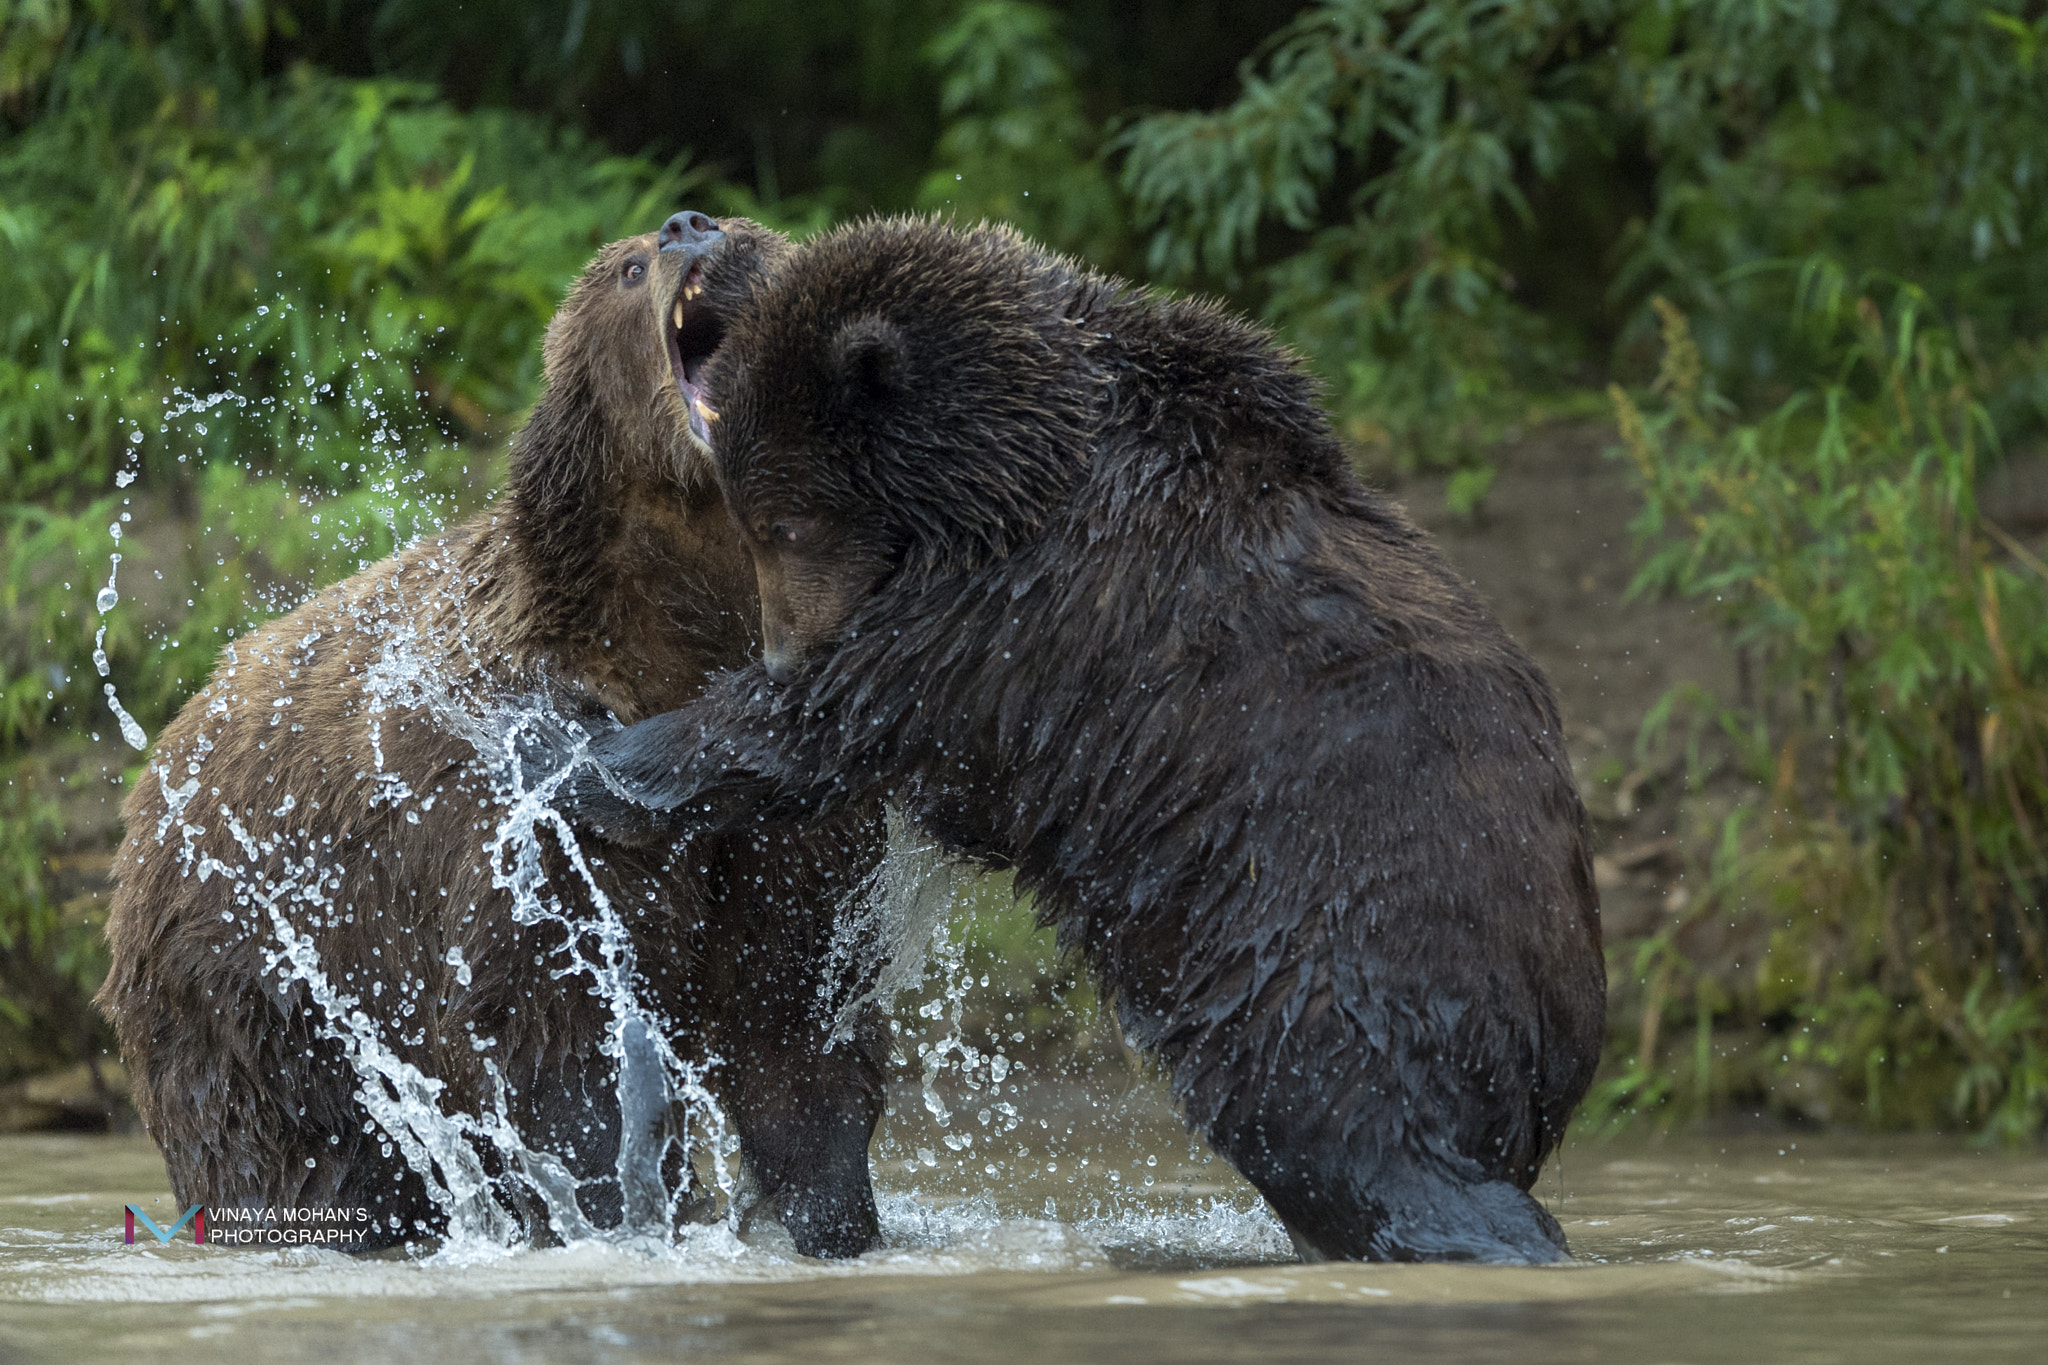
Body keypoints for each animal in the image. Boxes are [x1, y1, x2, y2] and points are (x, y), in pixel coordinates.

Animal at [99, 213, 892, 1260]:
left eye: (751, 230)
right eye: (628, 265)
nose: (690, 225)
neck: (682, 626)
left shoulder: (782, 810)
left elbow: (798, 1019)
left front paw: (835, 1212)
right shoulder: (527, 795)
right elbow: (551, 1033)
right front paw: (619, 1207)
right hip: (249, 979)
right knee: (288, 1145)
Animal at [544, 215, 1613, 1268]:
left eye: (784, 521)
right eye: (756, 516)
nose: (779, 647)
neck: (1007, 474)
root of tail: (1551, 1057)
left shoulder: (1033, 610)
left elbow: (825, 725)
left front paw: (588, 759)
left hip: (1323, 951)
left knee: (1334, 1117)